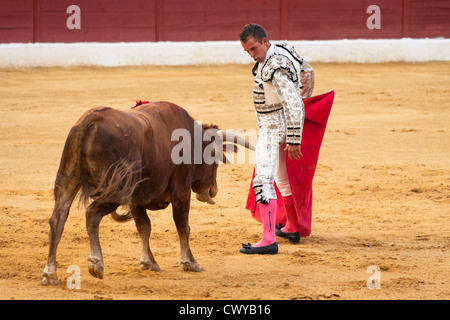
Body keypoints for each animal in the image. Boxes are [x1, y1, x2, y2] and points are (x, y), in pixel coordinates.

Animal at [42, 100, 253, 284]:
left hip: (68, 179)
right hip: (118, 189)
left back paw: (50, 274)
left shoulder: (137, 199)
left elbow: (144, 226)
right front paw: (190, 262)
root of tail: (92, 118)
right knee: (92, 214)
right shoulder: (181, 190)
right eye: (214, 156)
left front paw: (148, 262)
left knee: (57, 220)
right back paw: (96, 263)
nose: (213, 189)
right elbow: (182, 226)